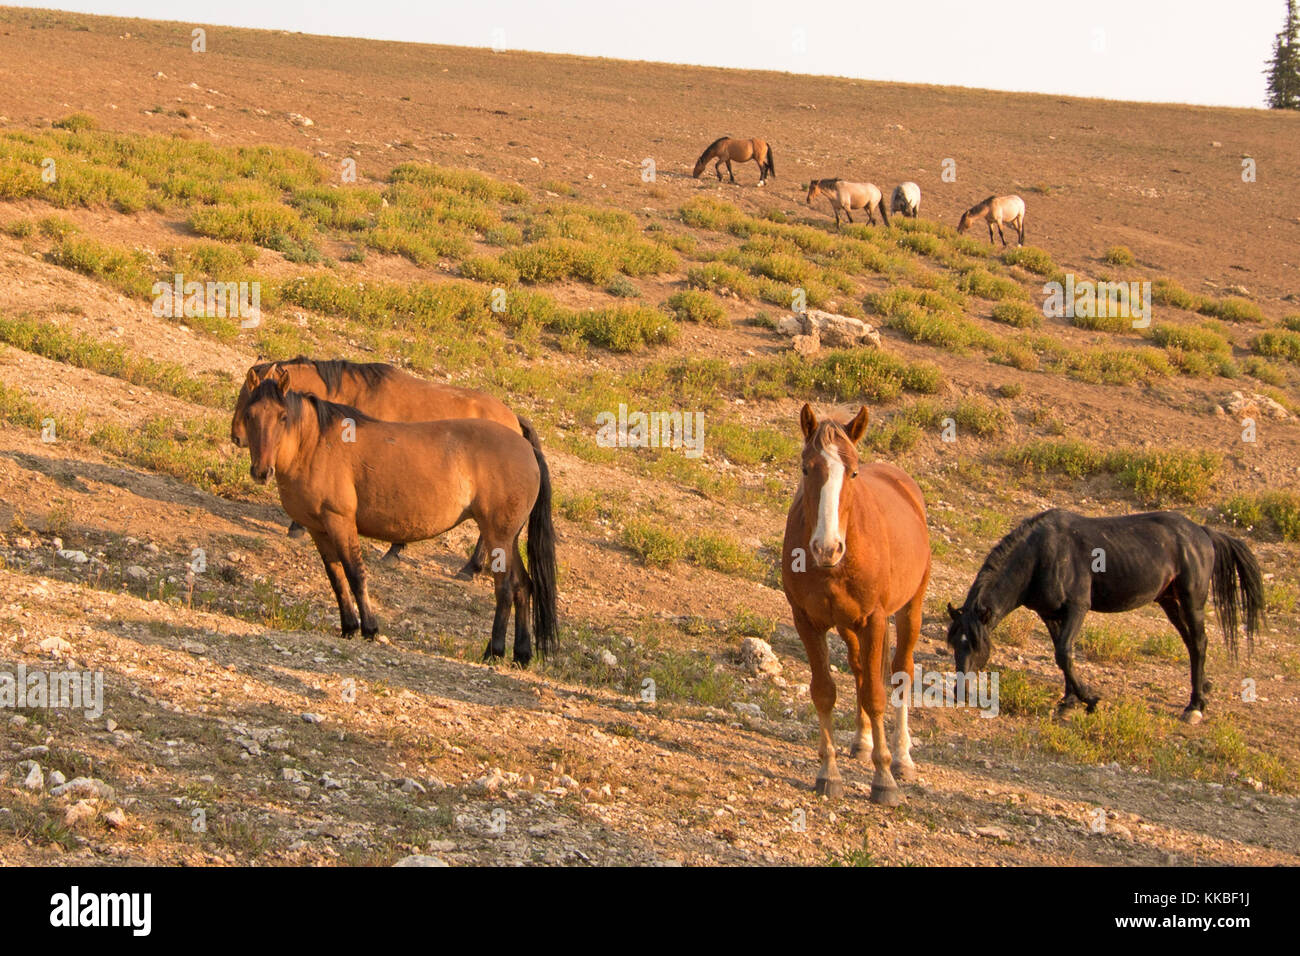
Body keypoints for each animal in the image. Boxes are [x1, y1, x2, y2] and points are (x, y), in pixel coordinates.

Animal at [781, 404, 931, 806]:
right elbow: (824, 692)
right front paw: (828, 773)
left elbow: (877, 695)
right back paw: (863, 743)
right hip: (848, 626)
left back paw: (903, 758)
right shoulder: (807, 621)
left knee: (900, 671)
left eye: (852, 472)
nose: (827, 548)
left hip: (909, 610)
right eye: (806, 468)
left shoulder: (875, 620)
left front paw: (884, 779)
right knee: (861, 669)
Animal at [946, 509, 1264, 723]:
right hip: (1170, 602)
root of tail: (1201, 532)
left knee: (1198, 642)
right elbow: (1060, 654)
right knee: (1192, 643)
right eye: (954, 645)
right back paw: (1204, 689)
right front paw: (1068, 701)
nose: (961, 691)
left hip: (1191, 600)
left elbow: (1064, 652)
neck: (1040, 555)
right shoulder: (1049, 614)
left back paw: (1195, 706)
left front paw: (1090, 700)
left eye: (976, 645)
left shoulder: (1077, 608)